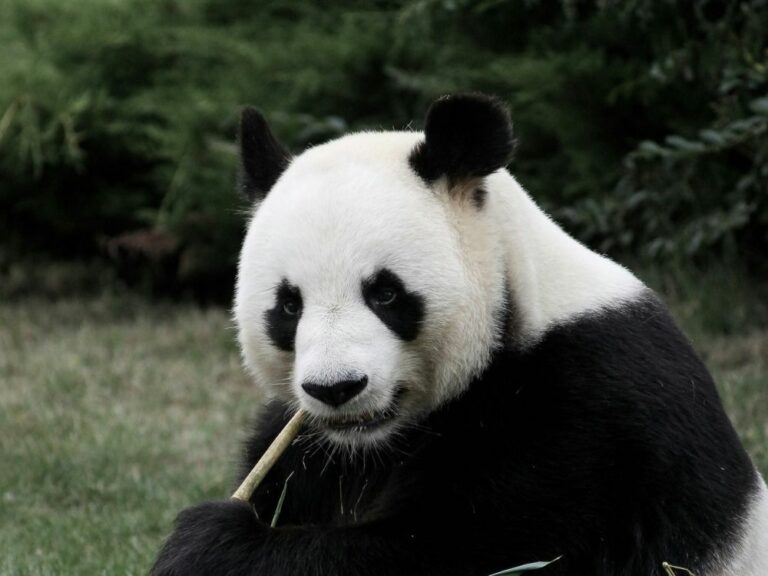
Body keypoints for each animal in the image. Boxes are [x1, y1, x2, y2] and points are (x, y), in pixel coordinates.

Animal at [151, 94, 768, 576]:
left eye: (386, 294)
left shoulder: (585, 415)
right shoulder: (308, 447)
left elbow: (467, 552)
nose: (336, 388)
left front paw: (209, 545)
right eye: (287, 305)